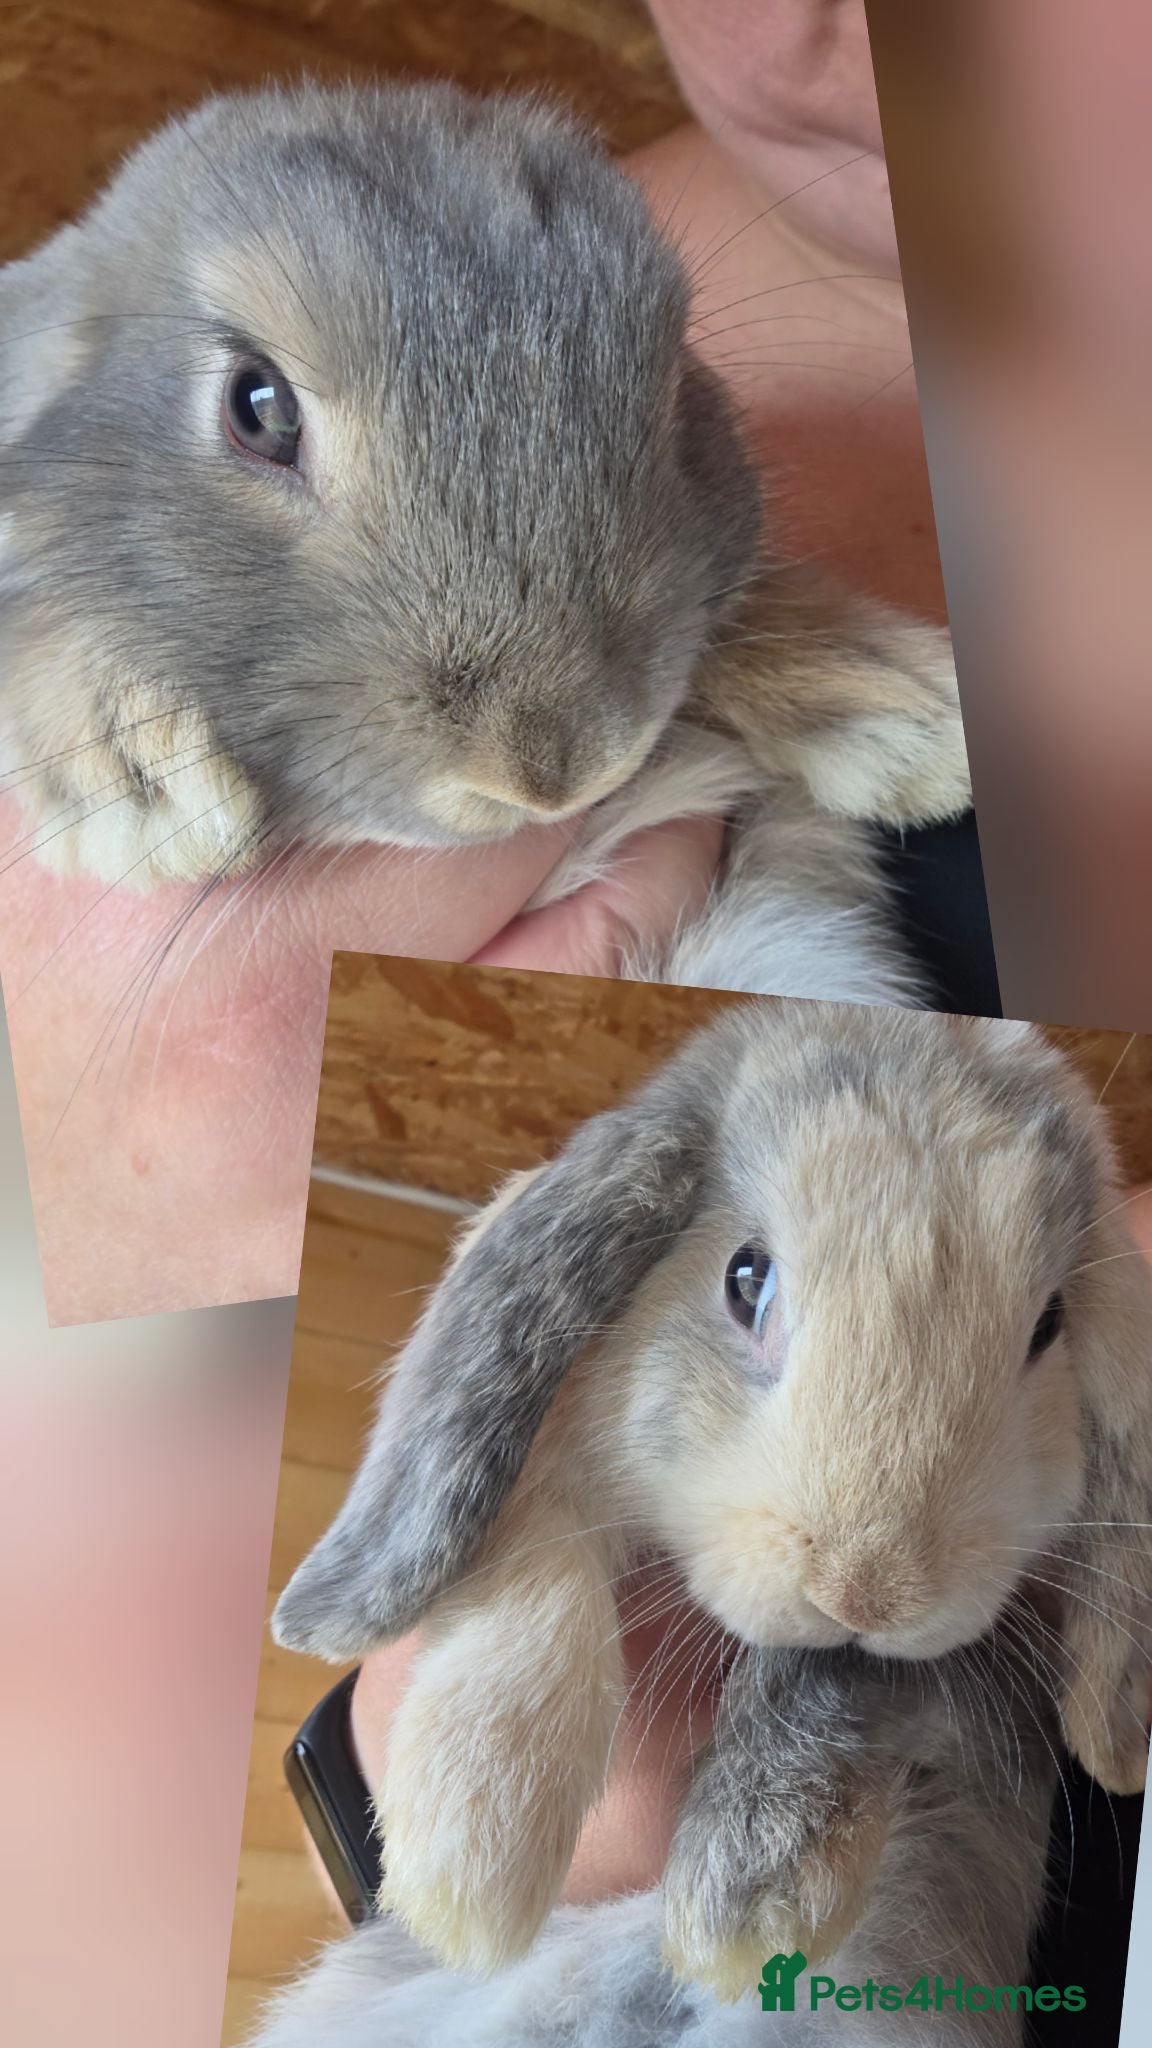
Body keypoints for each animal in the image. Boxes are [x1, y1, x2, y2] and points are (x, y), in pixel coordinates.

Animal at [272, 998, 1152, 1998]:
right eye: (746, 1278)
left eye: (1049, 1326)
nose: (868, 1591)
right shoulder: (561, 1459)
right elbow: (538, 1573)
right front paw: (469, 1870)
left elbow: (830, 1687)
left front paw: (748, 1912)